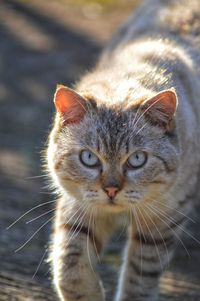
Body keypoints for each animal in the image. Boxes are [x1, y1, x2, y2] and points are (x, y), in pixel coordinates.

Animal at [47, 0, 200, 300]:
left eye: (137, 159)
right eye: (89, 158)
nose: (111, 190)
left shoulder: (163, 220)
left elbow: (139, 278)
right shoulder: (79, 206)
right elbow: (70, 269)